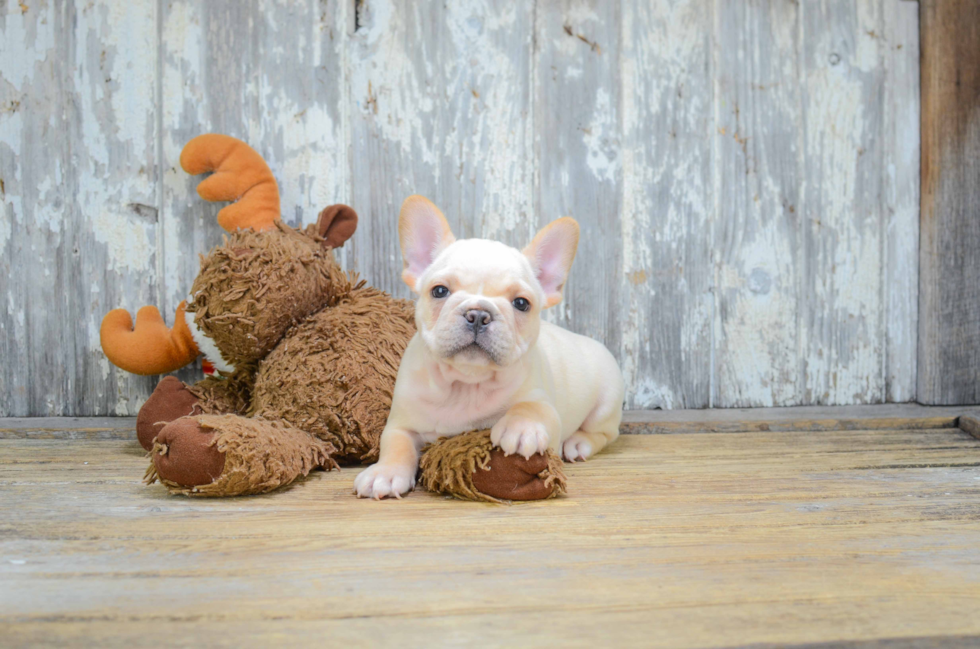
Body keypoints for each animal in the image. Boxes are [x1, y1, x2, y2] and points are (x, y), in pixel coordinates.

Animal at [356, 195, 624, 498]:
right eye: (439, 291)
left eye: (521, 303)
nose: (478, 314)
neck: (466, 384)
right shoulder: (402, 422)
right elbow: (395, 444)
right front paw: (385, 473)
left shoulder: (544, 405)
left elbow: (532, 408)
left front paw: (520, 429)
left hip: (606, 403)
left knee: (604, 433)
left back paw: (578, 443)